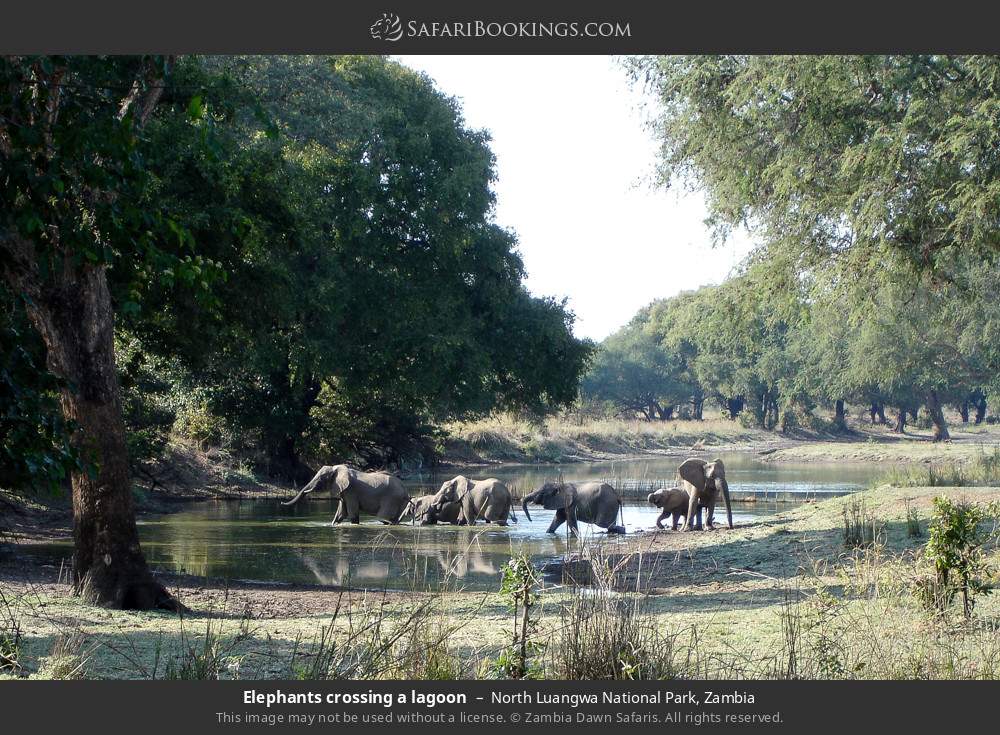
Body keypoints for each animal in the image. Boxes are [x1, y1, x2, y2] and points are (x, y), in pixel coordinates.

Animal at [281, 464, 411, 524]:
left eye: (321, 478)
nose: (282, 502)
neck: (336, 468)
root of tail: (405, 489)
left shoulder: (351, 491)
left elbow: (352, 514)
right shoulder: (344, 492)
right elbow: (340, 515)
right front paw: (332, 525)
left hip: (392, 498)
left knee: (383, 517)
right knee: (393, 520)